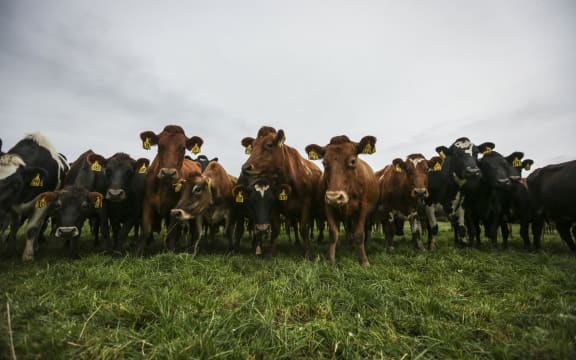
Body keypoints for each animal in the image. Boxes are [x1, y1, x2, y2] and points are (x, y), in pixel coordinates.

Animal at [138, 125, 204, 255]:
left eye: (183, 148)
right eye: (160, 146)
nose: (168, 173)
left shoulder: (175, 208)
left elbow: (172, 233)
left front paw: (170, 253)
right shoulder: (147, 203)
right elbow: (146, 231)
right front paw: (139, 254)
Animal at [240, 125, 324, 258]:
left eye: (269, 144)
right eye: (252, 146)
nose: (245, 167)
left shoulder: (306, 205)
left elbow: (304, 229)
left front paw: (307, 253)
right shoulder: (275, 205)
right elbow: (275, 229)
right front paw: (272, 253)